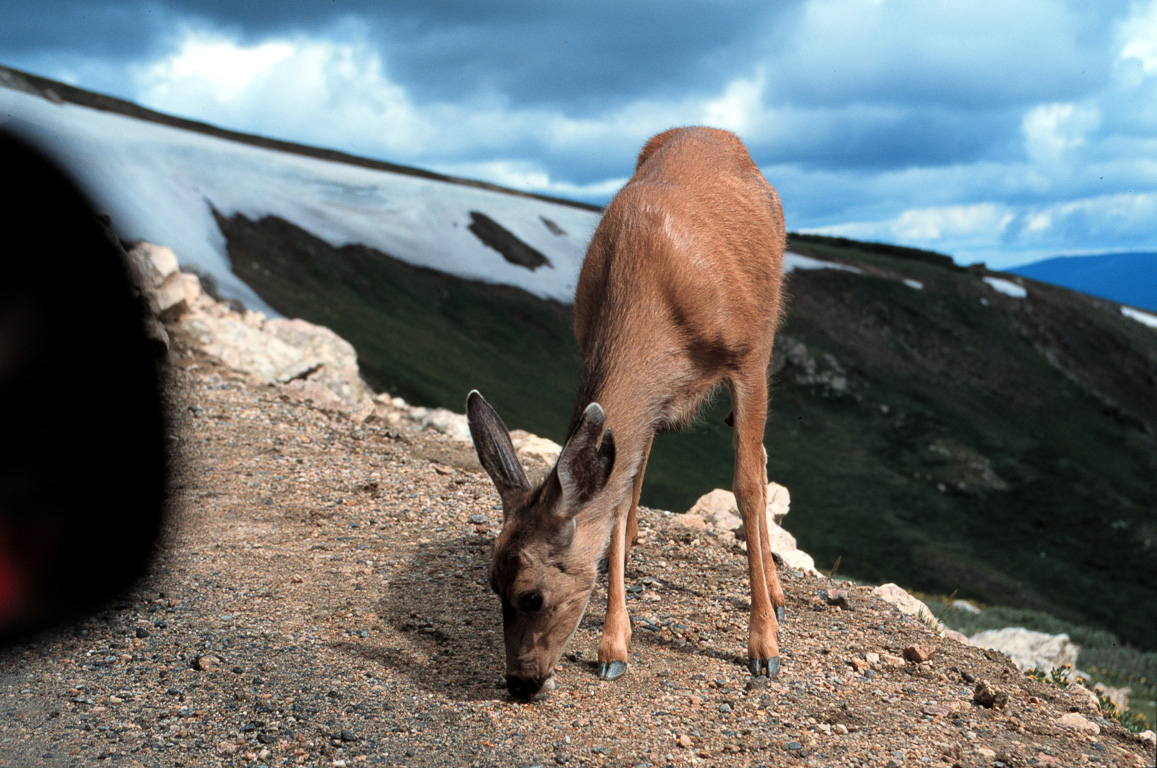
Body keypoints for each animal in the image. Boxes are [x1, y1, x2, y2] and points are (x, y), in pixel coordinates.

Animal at [467, 127, 786, 703]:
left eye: (531, 595)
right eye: (490, 584)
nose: (520, 682)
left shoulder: (748, 358)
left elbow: (747, 486)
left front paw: (763, 646)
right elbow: (618, 493)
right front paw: (614, 645)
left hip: (768, 330)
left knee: (761, 458)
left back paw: (774, 591)